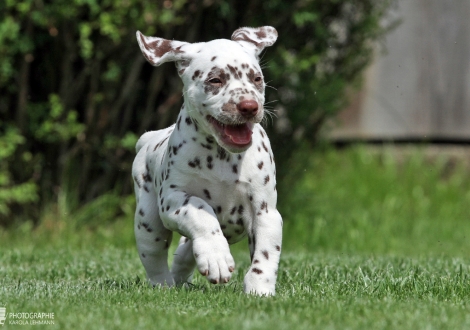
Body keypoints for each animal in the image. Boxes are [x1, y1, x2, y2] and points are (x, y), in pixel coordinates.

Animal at [132, 25, 282, 294]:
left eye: (257, 79)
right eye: (215, 80)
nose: (249, 106)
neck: (222, 156)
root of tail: (149, 137)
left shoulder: (265, 212)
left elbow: (266, 252)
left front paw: (260, 288)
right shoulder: (173, 199)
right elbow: (201, 211)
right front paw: (216, 257)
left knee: (184, 252)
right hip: (147, 222)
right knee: (155, 257)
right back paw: (165, 285)